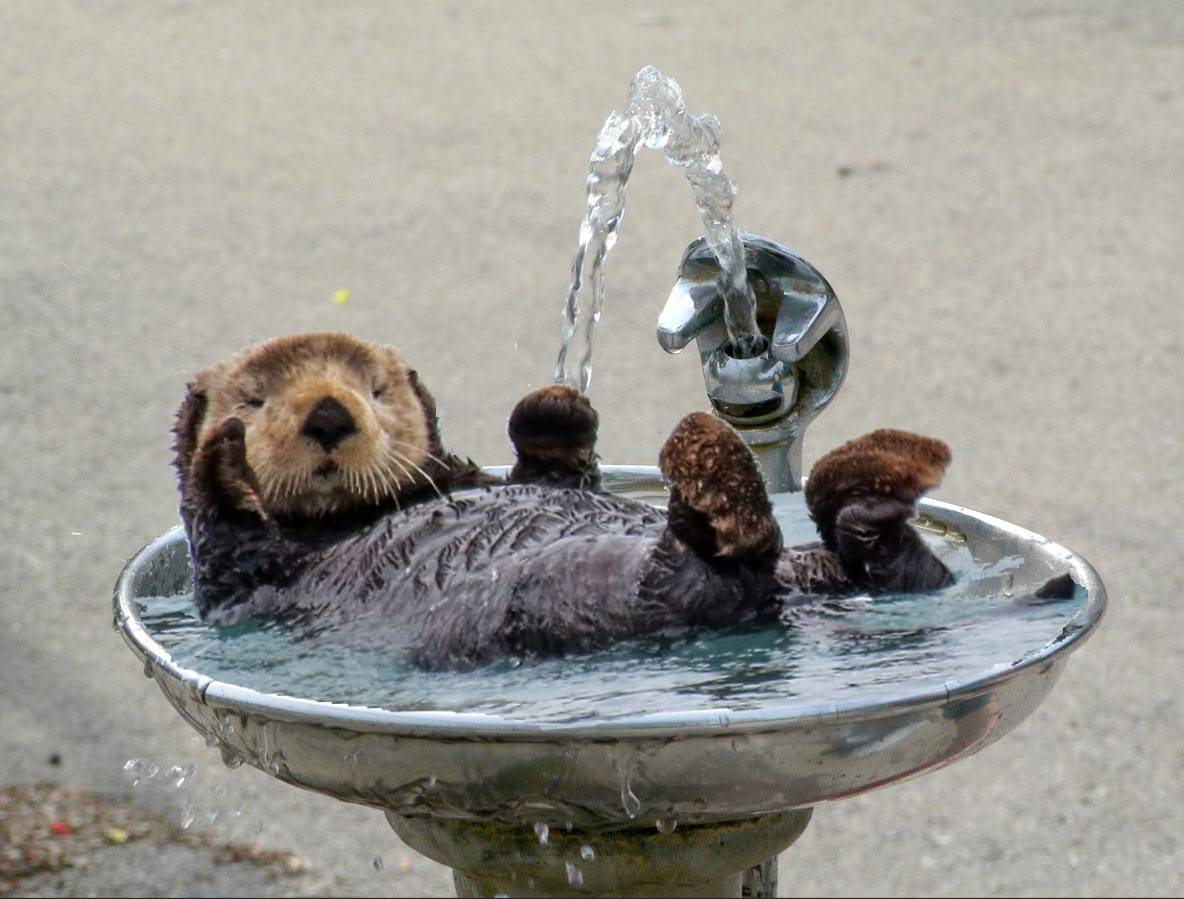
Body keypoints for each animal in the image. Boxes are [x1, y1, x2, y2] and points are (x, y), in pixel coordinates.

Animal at [174, 332, 953, 670]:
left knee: (892, 562)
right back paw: (718, 476)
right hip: (579, 592)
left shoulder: (528, 474)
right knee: (708, 569)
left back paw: (876, 477)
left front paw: (555, 403)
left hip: (818, 568)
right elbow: (223, 525)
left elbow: (553, 462)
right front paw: (225, 455)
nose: (329, 414)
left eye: (376, 388)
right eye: (252, 398)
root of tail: (786, 598)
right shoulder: (242, 578)